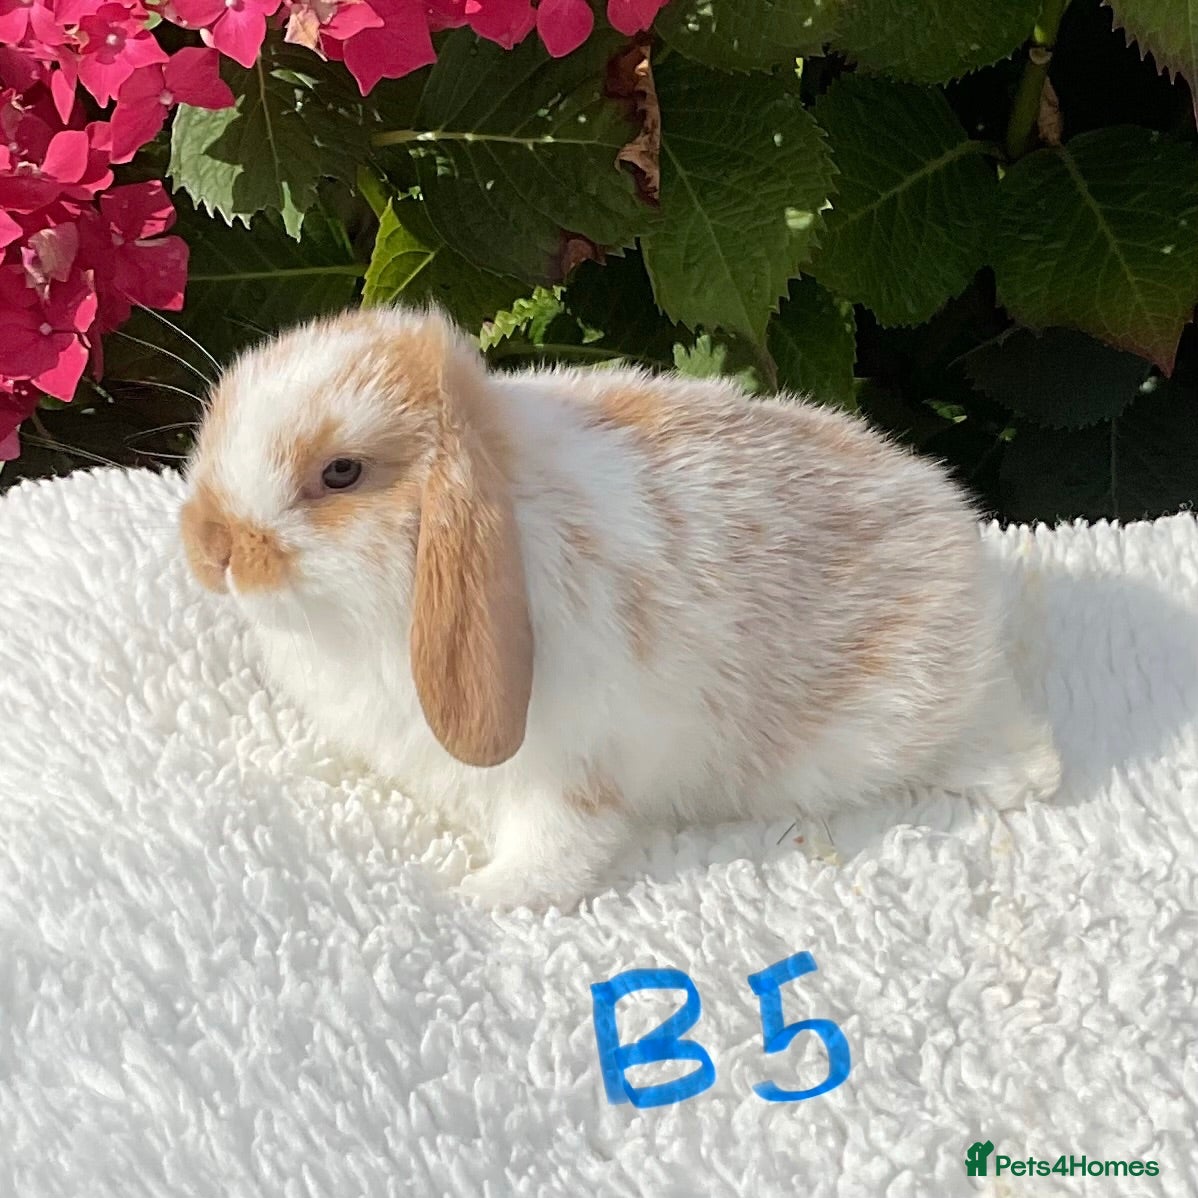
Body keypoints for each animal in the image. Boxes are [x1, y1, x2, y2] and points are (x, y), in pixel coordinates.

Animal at [179, 305, 1061, 911]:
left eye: (341, 473)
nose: (208, 546)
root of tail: (950, 523)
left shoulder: (564, 776)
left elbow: (556, 848)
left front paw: (481, 897)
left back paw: (1027, 777)